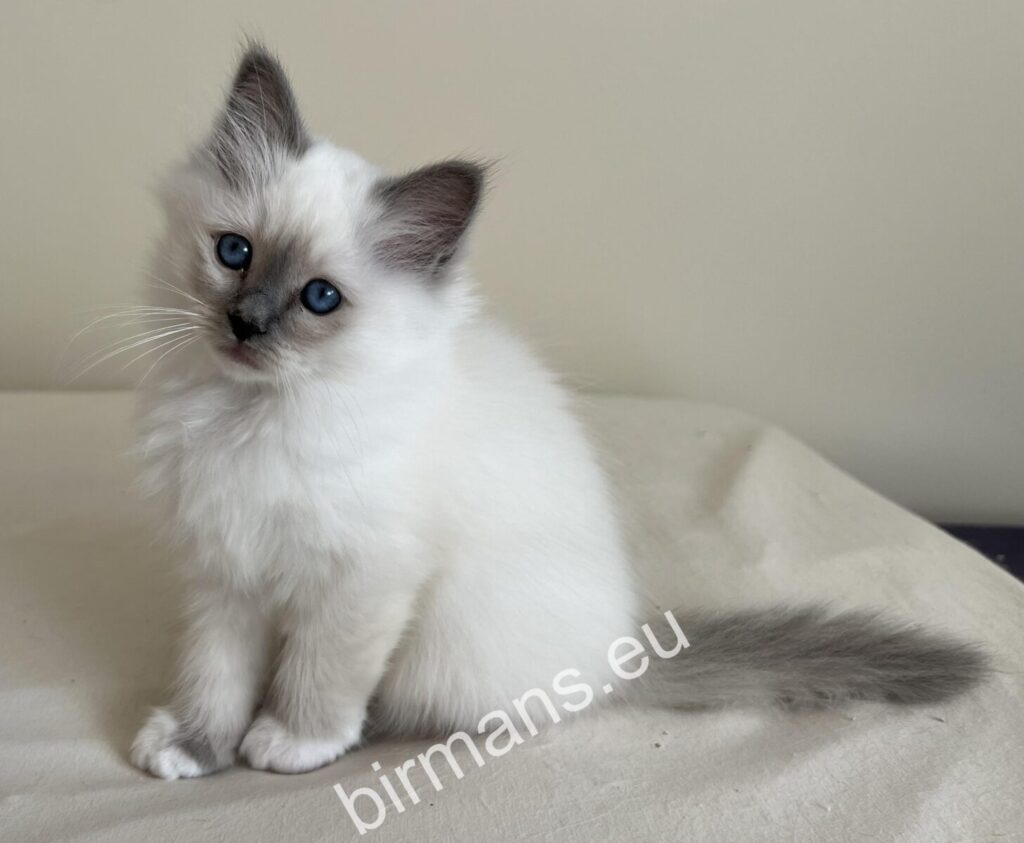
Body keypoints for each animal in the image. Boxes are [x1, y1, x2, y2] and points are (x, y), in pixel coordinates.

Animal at [130, 44, 986, 779]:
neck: (248, 417)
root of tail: (617, 655)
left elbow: (320, 676)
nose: (246, 324)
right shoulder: (224, 572)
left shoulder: (361, 580)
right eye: (234, 253)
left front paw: (289, 742)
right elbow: (214, 675)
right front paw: (193, 747)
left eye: (319, 298)